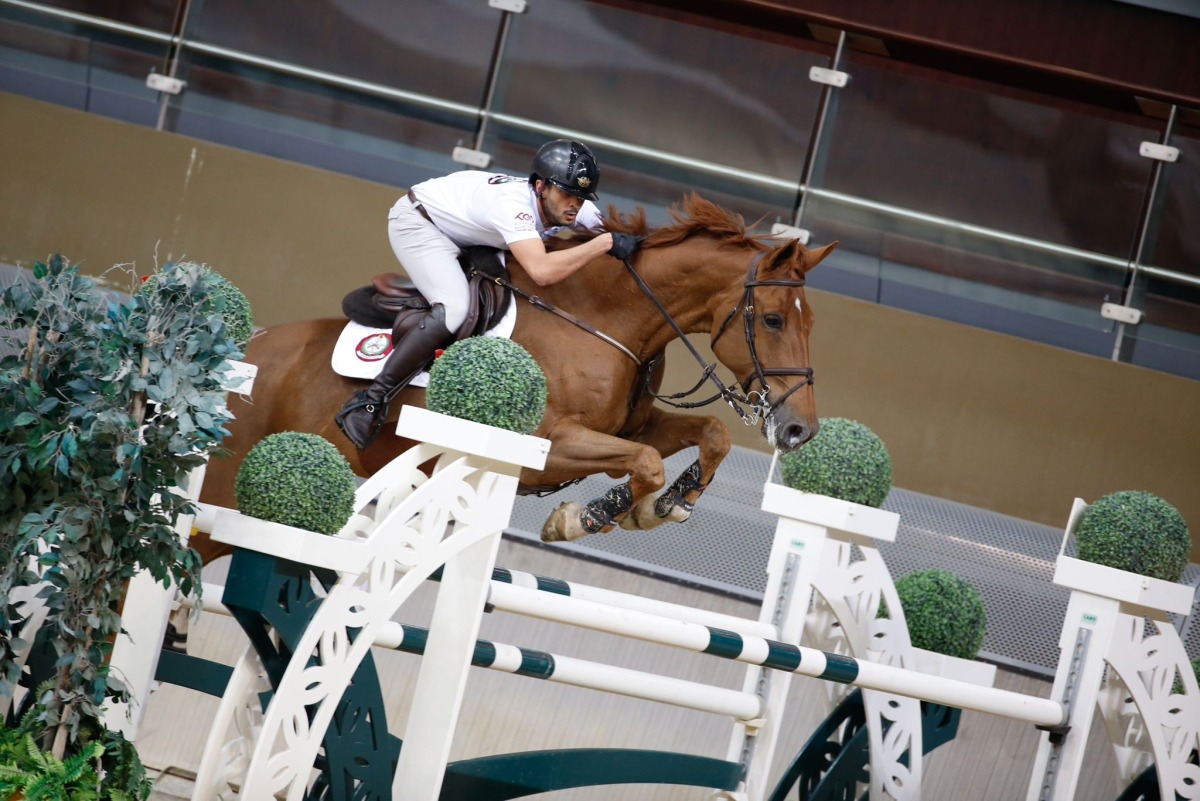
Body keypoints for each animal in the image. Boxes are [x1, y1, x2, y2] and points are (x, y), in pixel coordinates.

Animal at [194, 195, 835, 563]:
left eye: (811, 324)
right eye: (773, 320)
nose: (799, 430)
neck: (602, 318)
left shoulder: (631, 427)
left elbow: (707, 436)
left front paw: (662, 505)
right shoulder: (546, 447)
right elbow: (645, 463)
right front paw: (592, 516)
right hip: (223, 494)